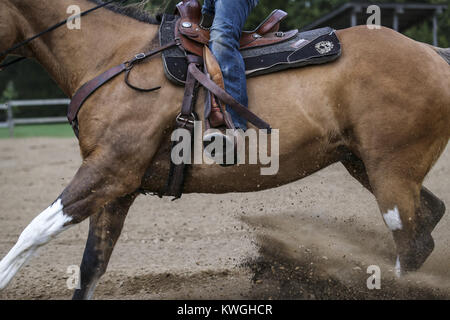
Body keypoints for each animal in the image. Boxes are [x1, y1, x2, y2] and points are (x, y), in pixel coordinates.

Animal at [0, 0, 448, 300]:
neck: (113, 58)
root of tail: (432, 53)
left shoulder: (108, 171)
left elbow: (34, 231)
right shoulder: (117, 188)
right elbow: (91, 265)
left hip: (392, 171)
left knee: (411, 243)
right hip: (366, 164)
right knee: (428, 222)